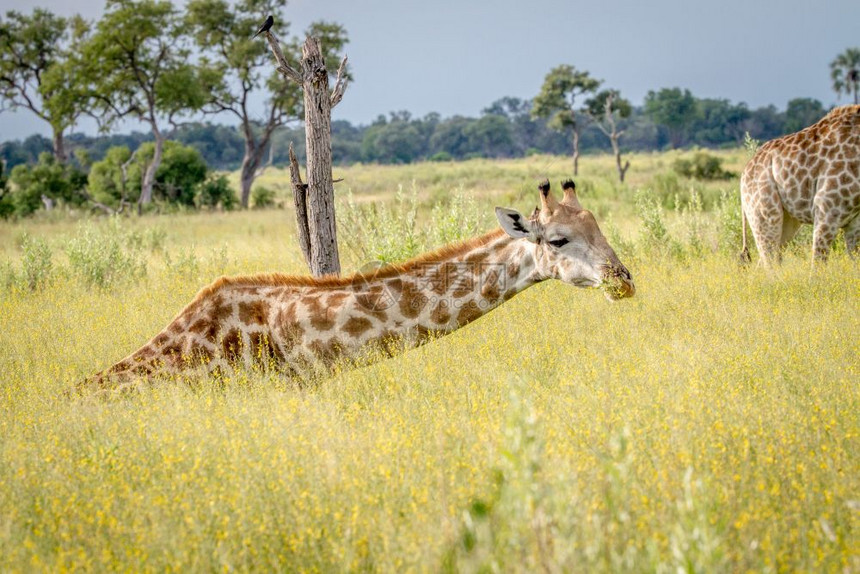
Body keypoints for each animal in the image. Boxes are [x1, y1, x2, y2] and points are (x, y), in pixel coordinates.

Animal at [740, 104, 860, 264]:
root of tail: (745, 172)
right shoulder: (826, 208)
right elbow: (818, 262)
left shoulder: (855, 223)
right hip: (765, 214)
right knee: (770, 261)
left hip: (787, 221)